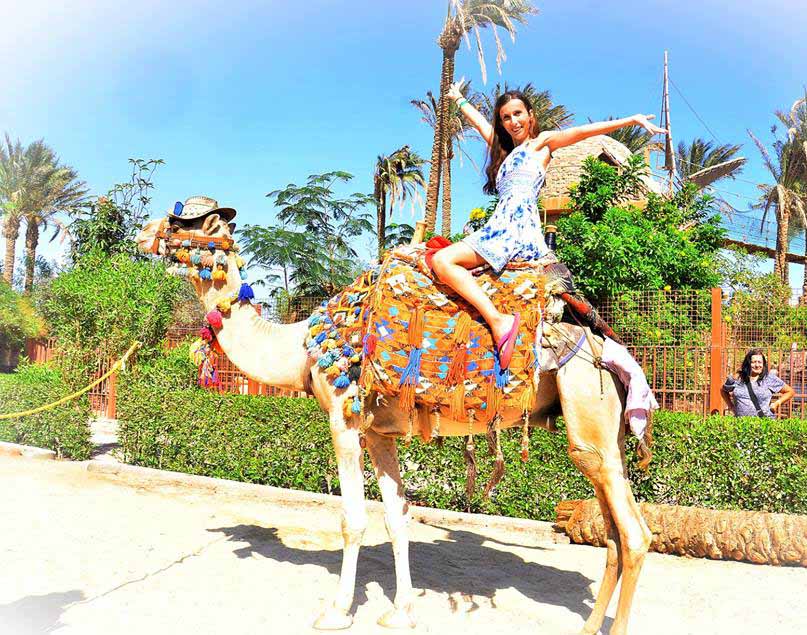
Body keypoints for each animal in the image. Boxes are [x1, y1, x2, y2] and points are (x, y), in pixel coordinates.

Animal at [136, 211, 653, 635]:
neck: (305, 346)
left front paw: (337, 611)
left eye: (191, 221)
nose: (144, 233)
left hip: (587, 404)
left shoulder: (343, 421)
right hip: (601, 430)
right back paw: (588, 627)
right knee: (612, 533)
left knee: (635, 534)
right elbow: (396, 516)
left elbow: (352, 520)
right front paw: (400, 611)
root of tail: (612, 348)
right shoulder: (378, 433)